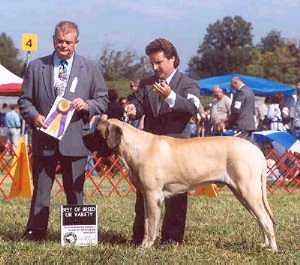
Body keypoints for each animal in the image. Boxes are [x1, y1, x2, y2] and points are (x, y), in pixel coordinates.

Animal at [91, 118, 276, 251]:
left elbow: (151, 225)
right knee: (260, 219)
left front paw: (145, 247)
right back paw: (265, 245)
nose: (85, 139)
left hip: (248, 191)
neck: (136, 147)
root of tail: (257, 151)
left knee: (266, 220)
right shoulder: (146, 196)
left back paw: (272, 249)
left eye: (97, 132)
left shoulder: (152, 195)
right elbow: (147, 222)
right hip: (243, 194)